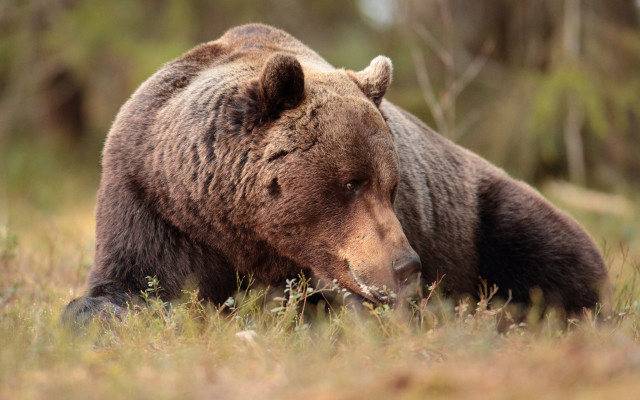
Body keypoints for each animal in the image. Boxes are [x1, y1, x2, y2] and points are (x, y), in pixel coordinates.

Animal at [62, 23, 609, 324]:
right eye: (351, 183)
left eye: (392, 185)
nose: (406, 265)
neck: (237, 225)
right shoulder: (153, 201)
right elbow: (129, 285)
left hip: (480, 214)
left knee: (551, 248)